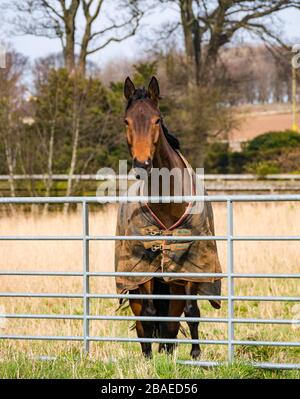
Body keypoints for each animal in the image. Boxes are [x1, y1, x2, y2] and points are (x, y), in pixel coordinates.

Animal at [116, 75, 221, 360]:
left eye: (157, 120)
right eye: (127, 121)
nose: (142, 165)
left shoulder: (192, 266)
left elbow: (191, 313)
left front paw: (196, 355)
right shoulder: (145, 269)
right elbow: (151, 314)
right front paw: (151, 359)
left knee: (173, 319)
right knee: (145, 319)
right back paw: (151, 353)